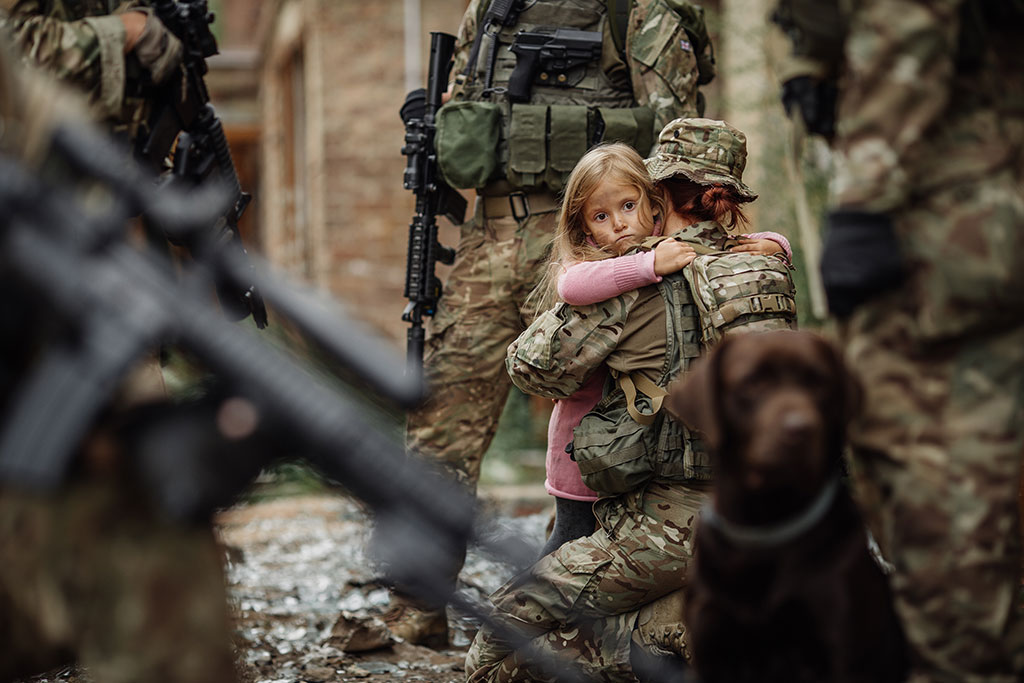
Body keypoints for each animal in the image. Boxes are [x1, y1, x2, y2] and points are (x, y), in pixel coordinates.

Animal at [671, 329, 905, 683]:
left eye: (819, 382)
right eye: (752, 382)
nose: (800, 429)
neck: (766, 526)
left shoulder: (845, 652)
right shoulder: (710, 650)